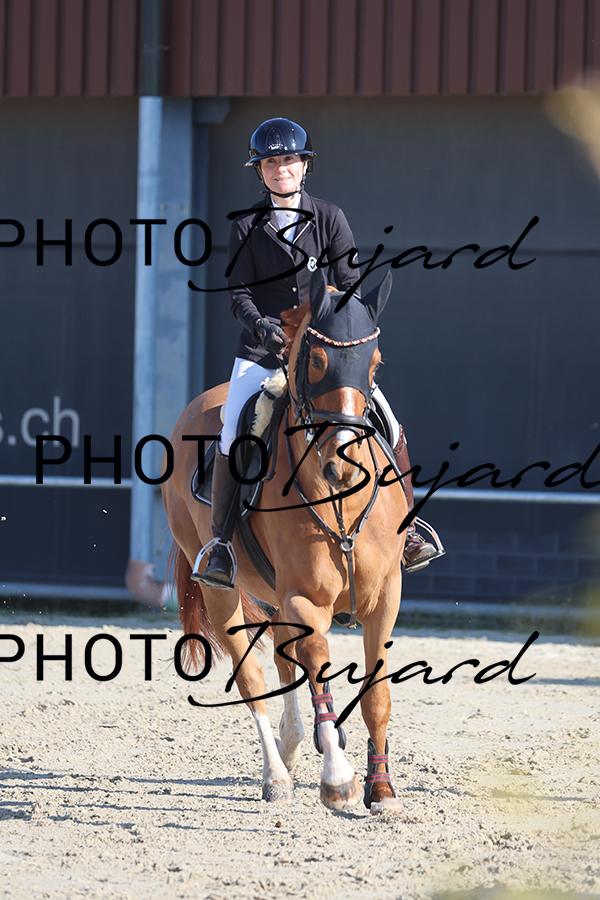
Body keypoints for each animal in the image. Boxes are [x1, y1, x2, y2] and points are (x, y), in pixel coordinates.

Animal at [162, 270, 407, 814]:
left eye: (376, 363)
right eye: (316, 362)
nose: (343, 465)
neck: (338, 501)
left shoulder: (385, 597)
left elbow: (376, 695)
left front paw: (382, 790)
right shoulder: (302, 598)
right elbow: (315, 662)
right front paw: (338, 778)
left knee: (279, 655)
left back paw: (294, 746)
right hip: (221, 589)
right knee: (254, 674)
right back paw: (277, 773)